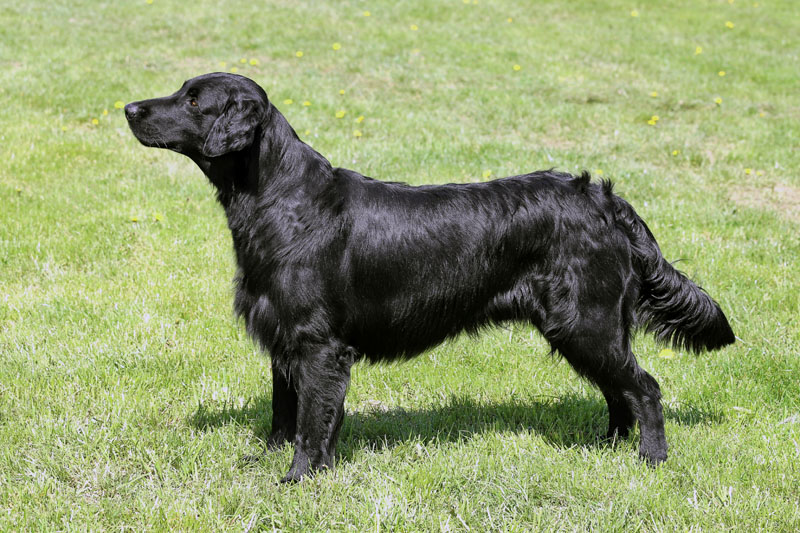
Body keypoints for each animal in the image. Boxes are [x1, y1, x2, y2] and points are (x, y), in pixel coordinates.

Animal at [128, 72, 736, 480]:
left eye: (193, 99)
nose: (130, 106)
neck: (281, 197)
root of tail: (604, 198)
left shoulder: (318, 345)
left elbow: (311, 420)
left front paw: (299, 478)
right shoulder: (283, 338)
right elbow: (285, 412)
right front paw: (269, 458)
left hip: (586, 321)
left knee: (645, 389)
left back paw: (650, 459)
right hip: (584, 329)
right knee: (619, 392)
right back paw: (606, 447)